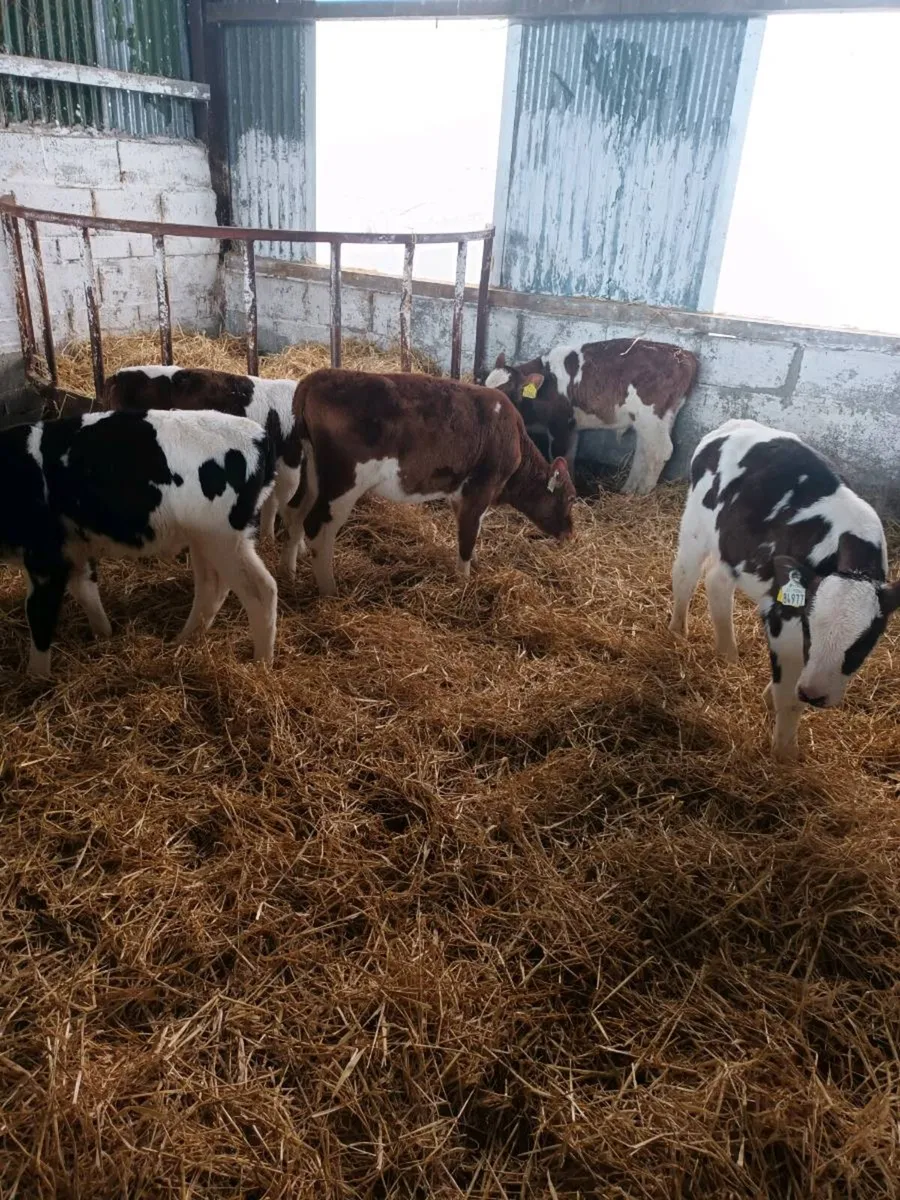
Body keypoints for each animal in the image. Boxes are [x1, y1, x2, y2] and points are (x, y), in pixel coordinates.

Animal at [0, 408, 278, 678]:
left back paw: (261, 664)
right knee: (212, 586)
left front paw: (36, 679)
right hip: (205, 539)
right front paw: (104, 636)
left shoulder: (45, 556)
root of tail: (260, 437)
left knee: (261, 590)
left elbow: (39, 613)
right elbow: (85, 588)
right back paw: (182, 642)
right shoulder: (74, 546)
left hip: (224, 538)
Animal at [280, 369, 576, 596]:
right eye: (571, 498)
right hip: (343, 482)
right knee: (318, 527)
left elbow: (471, 531)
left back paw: (290, 571)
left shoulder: (461, 494)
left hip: (312, 473)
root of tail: (315, 379)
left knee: (295, 511)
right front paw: (464, 582)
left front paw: (475, 565)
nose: (570, 533)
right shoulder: (481, 489)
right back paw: (330, 592)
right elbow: (467, 536)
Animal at [484, 339, 698, 495]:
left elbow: (558, 455)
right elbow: (569, 458)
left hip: (651, 415)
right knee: (645, 449)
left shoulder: (560, 424)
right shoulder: (571, 429)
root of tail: (684, 355)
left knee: (661, 450)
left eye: (508, 393)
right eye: (484, 384)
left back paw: (642, 493)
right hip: (659, 418)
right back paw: (628, 490)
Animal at [669, 418, 899, 761]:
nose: (814, 694)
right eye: (810, 629)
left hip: (734, 547)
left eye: (864, 643)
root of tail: (736, 423)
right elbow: (789, 697)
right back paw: (677, 630)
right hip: (696, 525)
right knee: (685, 575)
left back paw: (728, 654)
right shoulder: (782, 616)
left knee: (716, 580)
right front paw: (785, 754)